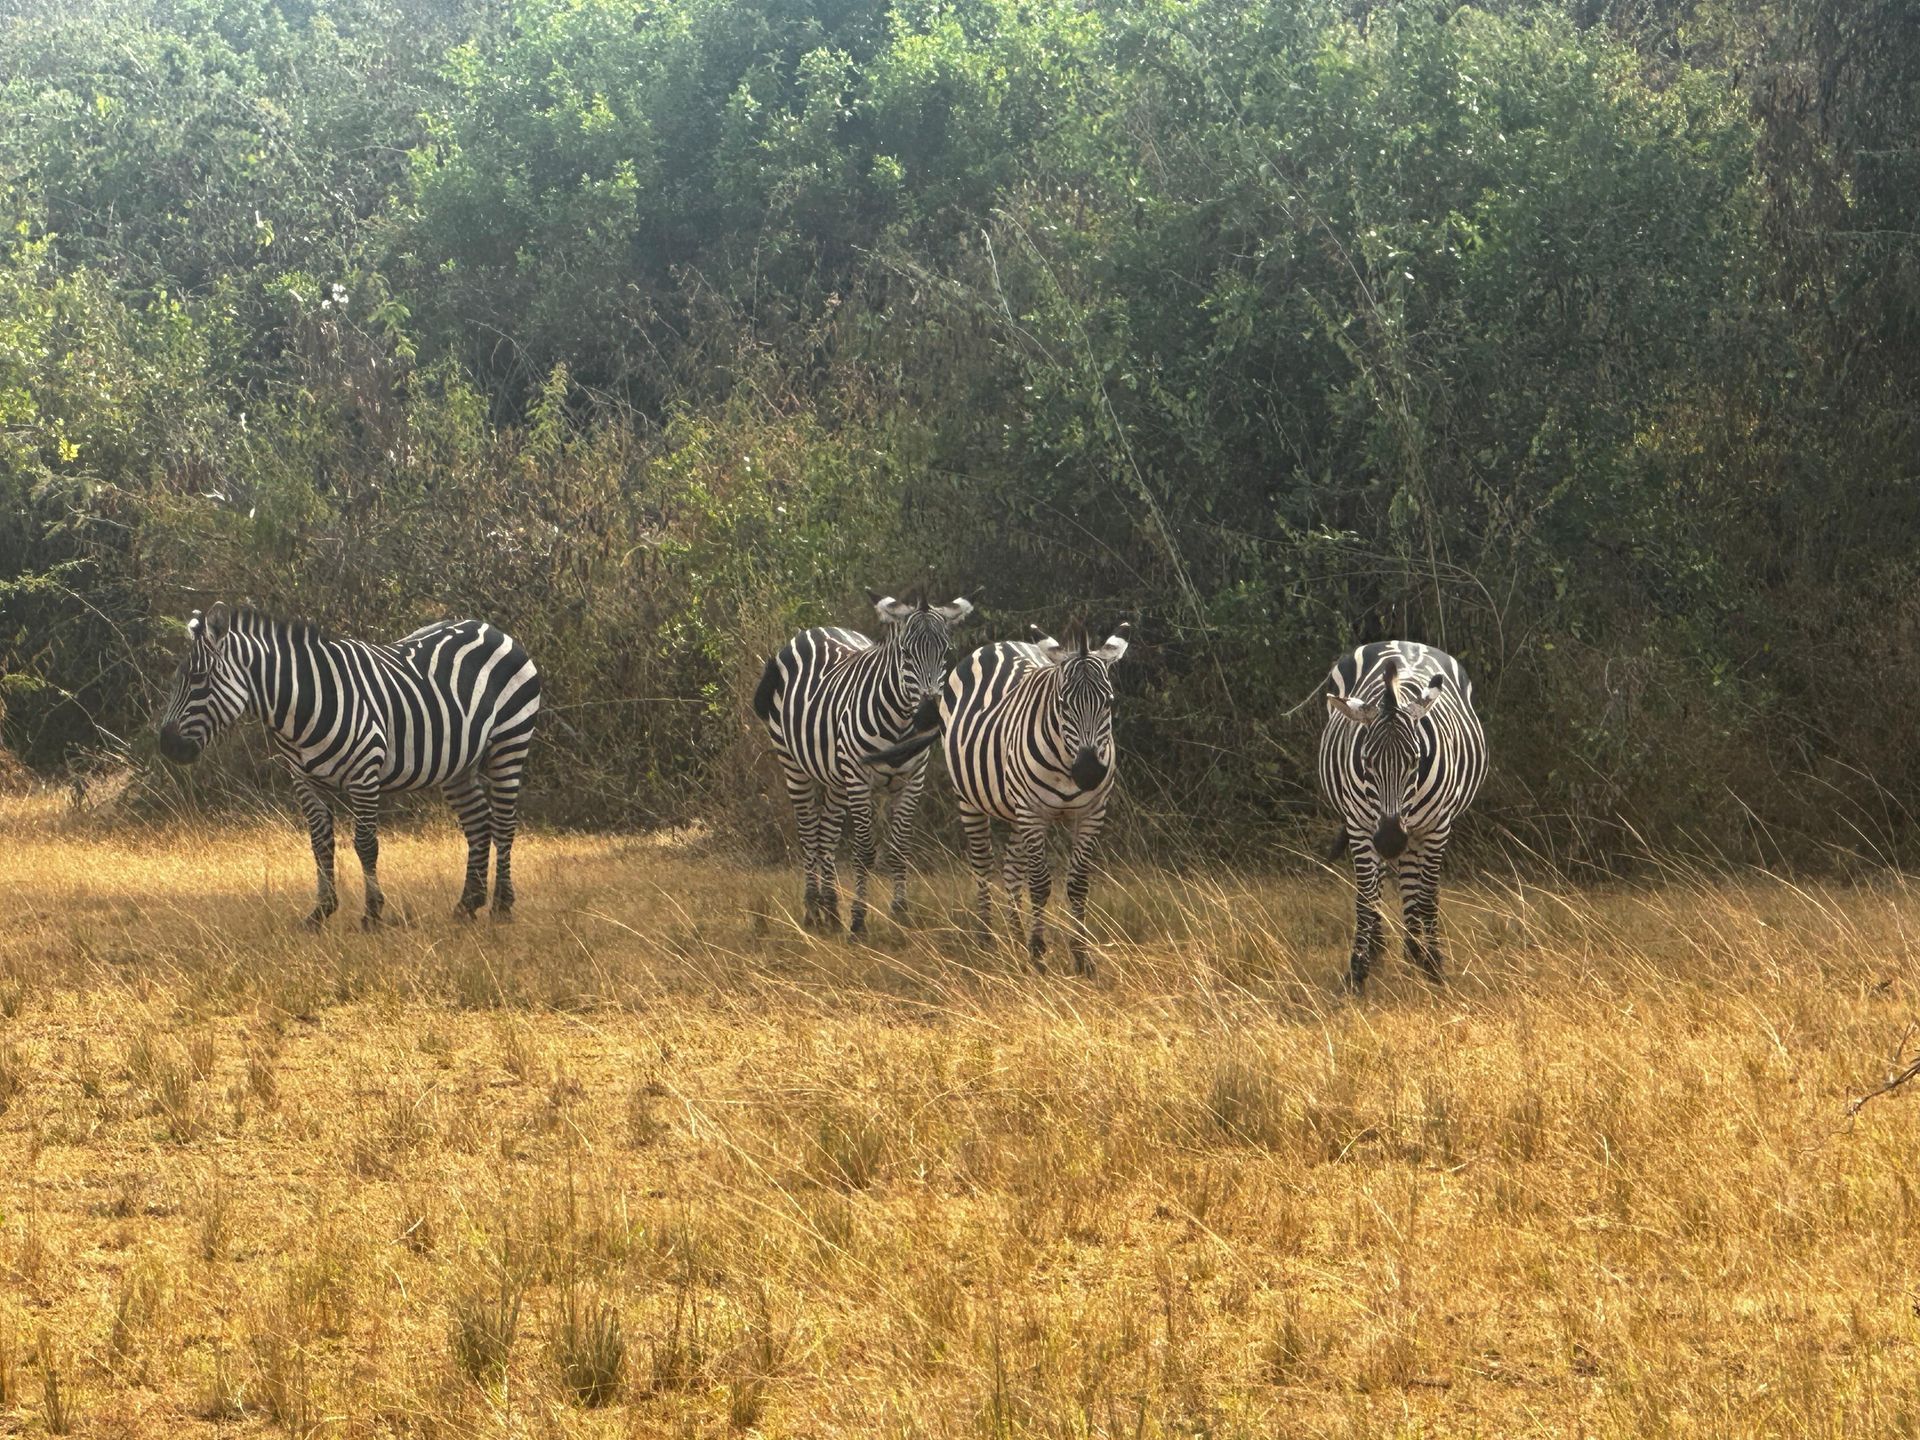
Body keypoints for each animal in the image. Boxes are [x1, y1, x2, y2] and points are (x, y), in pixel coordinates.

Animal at [155, 602, 541, 927]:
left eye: (200, 679)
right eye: (176, 679)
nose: (167, 745)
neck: (303, 704)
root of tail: (492, 629)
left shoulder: (364, 774)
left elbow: (366, 844)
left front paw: (372, 914)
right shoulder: (304, 780)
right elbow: (320, 843)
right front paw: (321, 912)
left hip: (510, 743)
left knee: (504, 824)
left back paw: (502, 907)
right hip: (460, 763)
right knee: (478, 824)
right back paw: (467, 905)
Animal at [753, 590, 974, 933]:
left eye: (945, 651)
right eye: (905, 653)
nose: (929, 714)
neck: (900, 724)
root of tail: (813, 630)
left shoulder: (913, 780)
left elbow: (899, 849)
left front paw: (900, 913)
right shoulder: (858, 778)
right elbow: (865, 851)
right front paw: (858, 919)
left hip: (834, 777)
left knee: (826, 836)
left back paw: (830, 909)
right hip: (794, 765)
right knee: (808, 834)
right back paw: (812, 909)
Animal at [867, 620, 1129, 974]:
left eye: (1109, 702)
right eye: (1062, 704)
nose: (1088, 772)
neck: (1066, 762)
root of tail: (998, 645)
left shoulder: (1091, 814)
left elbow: (1077, 885)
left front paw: (1081, 957)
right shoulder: (1033, 813)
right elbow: (1040, 884)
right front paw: (1038, 954)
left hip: (1015, 808)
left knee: (1011, 869)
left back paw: (1016, 935)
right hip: (971, 800)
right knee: (983, 865)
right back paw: (987, 937)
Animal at [1318, 640, 1487, 989]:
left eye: (1416, 760)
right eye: (1367, 761)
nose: (1391, 840)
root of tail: (1403, 643)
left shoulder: (1436, 827)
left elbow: (1427, 894)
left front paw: (1434, 966)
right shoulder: (1360, 825)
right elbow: (1366, 897)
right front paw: (1358, 969)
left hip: (1421, 829)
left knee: (1415, 883)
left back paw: (1415, 949)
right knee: (1384, 880)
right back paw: (1383, 947)